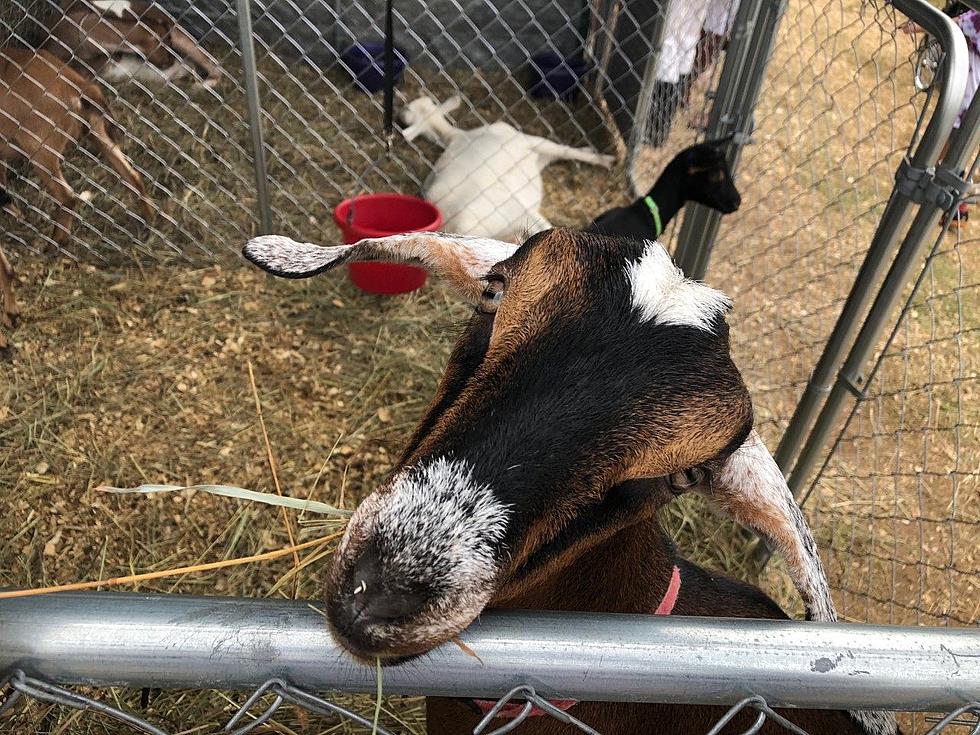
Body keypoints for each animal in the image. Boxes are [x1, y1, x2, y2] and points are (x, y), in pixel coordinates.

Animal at [0, 49, 153, 250]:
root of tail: (75, 84)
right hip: (97, 132)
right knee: (133, 176)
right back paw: (148, 222)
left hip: (40, 149)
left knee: (68, 196)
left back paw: (54, 244)